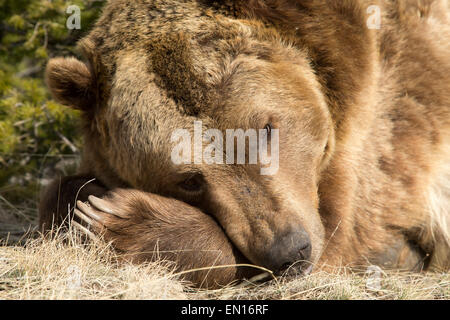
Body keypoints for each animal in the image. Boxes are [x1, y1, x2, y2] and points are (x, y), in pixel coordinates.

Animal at [40, 0, 448, 288]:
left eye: (265, 129)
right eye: (189, 180)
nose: (290, 250)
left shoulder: (385, 127)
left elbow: (340, 235)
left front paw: (117, 218)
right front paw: (81, 197)